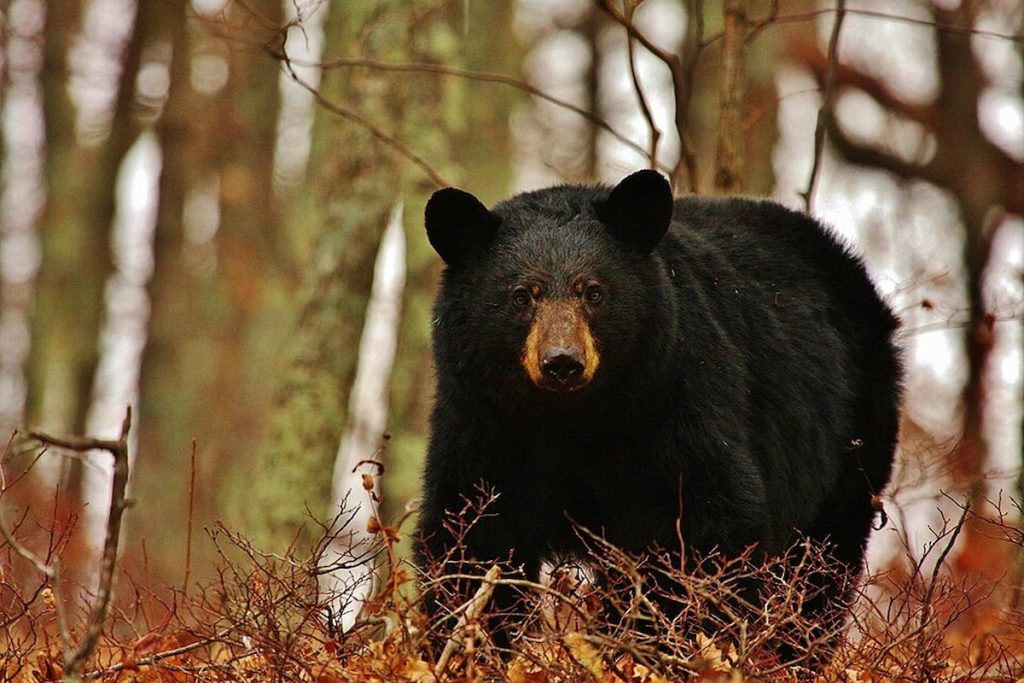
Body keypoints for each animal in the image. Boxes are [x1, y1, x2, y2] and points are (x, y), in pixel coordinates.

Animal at [415, 169, 902, 653]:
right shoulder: (484, 423)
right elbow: (473, 537)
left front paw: (665, 644)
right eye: (521, 296)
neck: (572, 418)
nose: (562, 362)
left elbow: (702, 530)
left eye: (594, 292)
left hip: (850, 440)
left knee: (819, 571)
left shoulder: (676, 403)